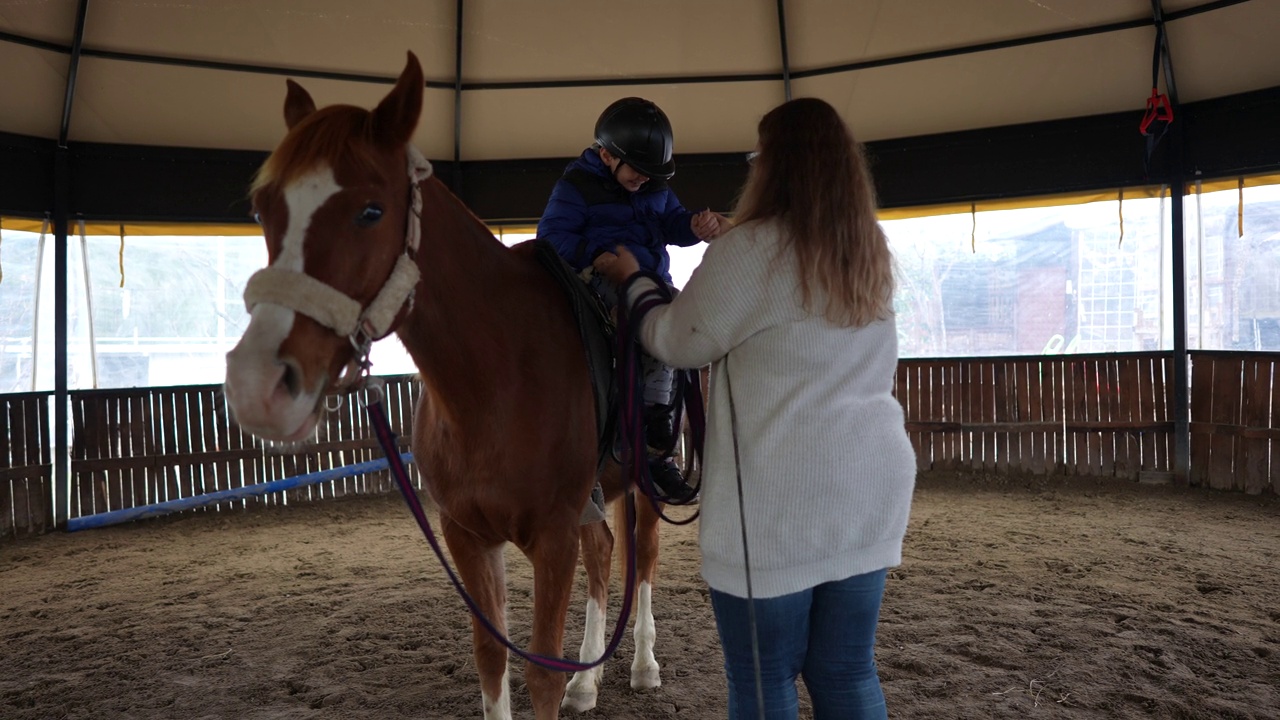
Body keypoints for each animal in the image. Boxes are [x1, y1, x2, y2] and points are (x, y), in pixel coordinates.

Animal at [224, 51, 670, 717]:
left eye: (371, 210)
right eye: (263, 208)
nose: (257, 384)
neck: (495, 381)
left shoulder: (552, 537)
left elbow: (541, 671)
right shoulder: (467, 536)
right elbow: (492, 659)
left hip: (644, 483)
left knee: (642, 562)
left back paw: (642, 665)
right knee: (605, 552)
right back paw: (588, 681)